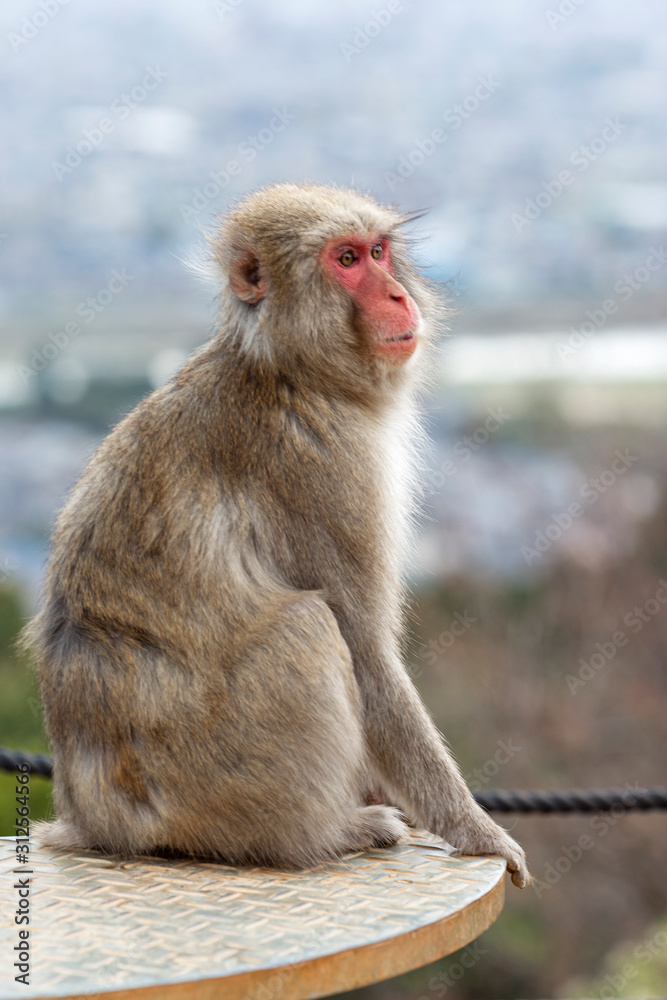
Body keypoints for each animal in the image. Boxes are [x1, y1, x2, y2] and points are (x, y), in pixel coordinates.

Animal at [24, 182, 529, 888]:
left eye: (378, 252)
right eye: (345, 260)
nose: (397, 297)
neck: (289, 369)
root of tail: (100, 825)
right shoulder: (324, 464)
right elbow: (365, 649)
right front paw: (475, 830)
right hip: (218, 788)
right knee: (308, 625)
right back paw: (324, 836)